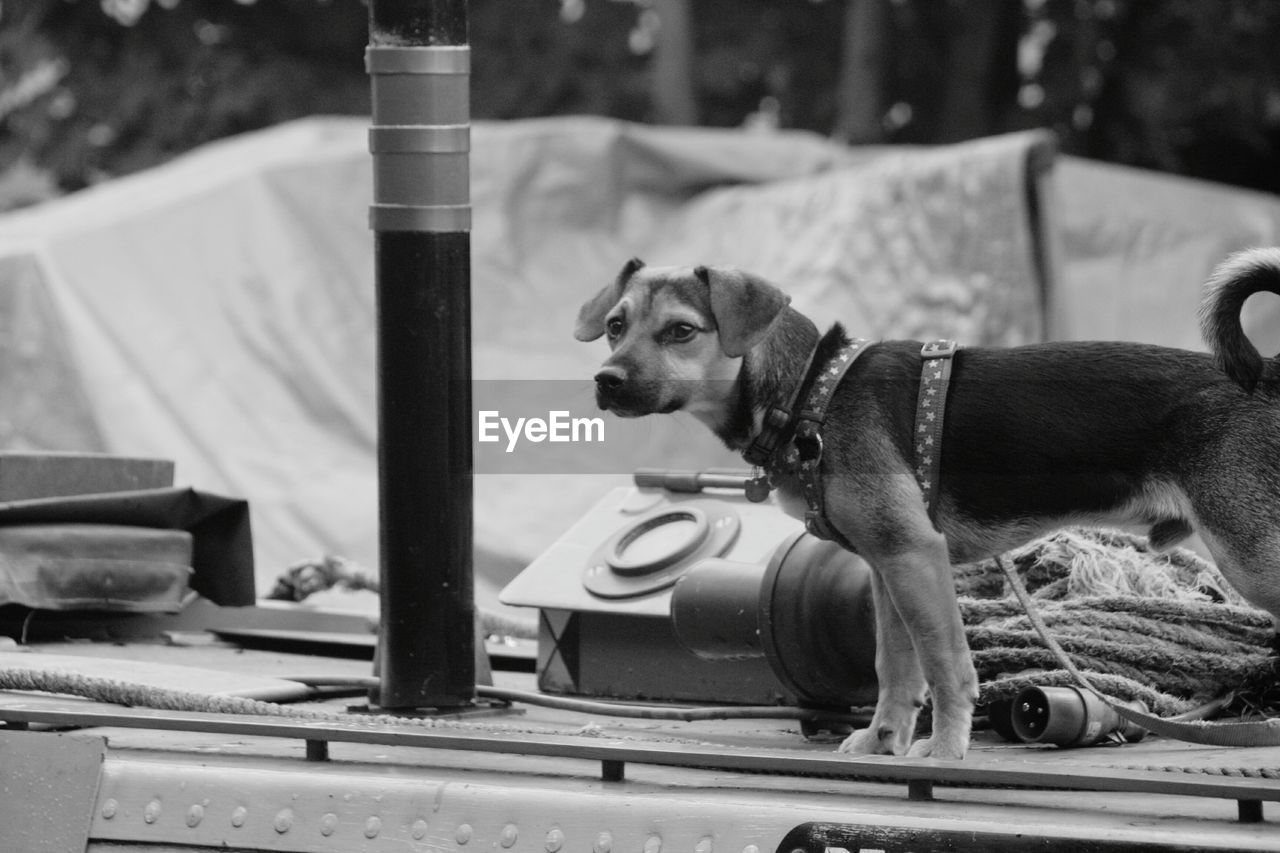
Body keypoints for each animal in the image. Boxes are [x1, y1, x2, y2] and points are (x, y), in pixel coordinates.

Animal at [576, 247, 1280, 758]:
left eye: (681, 331)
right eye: (615, 327)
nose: (605, 381)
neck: (811, 391)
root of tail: (1269, 375)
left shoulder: (915, 554)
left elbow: (945, 668)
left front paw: (944, 753)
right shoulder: (888, 566)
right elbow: (896, 668)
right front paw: (883, 740)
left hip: (1252, 558)